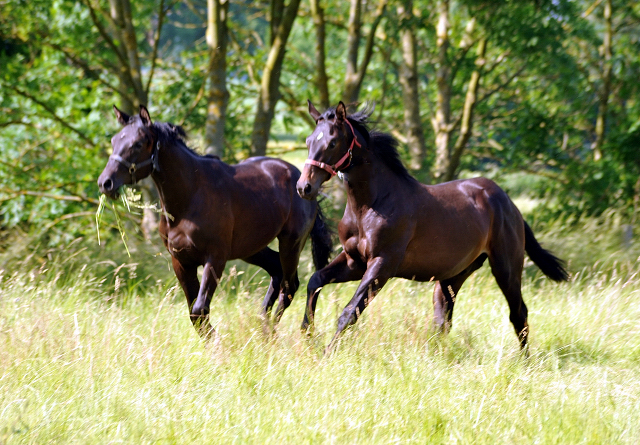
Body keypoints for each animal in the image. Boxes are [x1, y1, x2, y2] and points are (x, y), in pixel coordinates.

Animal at [99, 106, 336, 336]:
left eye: (137, 144)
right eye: (114, 141)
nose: (105, 183)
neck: (189, 197)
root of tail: (301, 180)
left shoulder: (215, 259)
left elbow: (199, 309)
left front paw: (218, 345)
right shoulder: (181, 262)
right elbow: (194, 313)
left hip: (291, 244)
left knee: (289, 286)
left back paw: (270, 334)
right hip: (252, 248)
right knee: (277, 273)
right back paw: (263, 329)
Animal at [298, 100, 568, 350]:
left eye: (333, 142)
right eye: (309, 141)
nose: (304, 187)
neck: (370, 205)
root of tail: (510, 204)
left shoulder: (382, 264)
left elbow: (349, 312)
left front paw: (327, 354)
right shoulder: (354, 261)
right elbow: (315, 281)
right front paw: (306, 334)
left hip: (506, 268)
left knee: (518, 313)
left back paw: (524, 361)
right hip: (453, 275)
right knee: (444, 317)